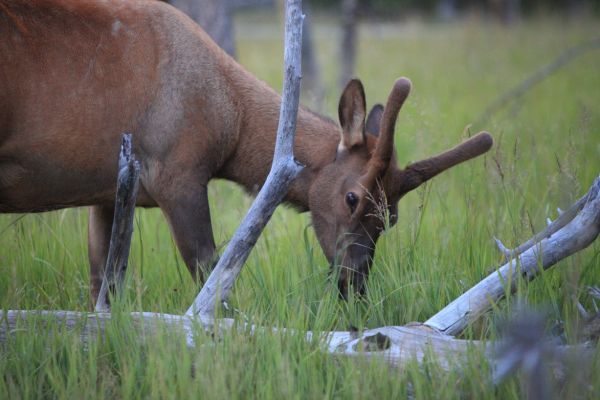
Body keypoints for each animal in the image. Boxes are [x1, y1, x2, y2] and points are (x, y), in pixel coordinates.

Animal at [0, 0, 492, 300]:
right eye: (352, 197)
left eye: (391, 217)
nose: (354, 286)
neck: (229, 128)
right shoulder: (177, 175)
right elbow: (212, 278)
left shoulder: (107, 189)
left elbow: (102, 285)